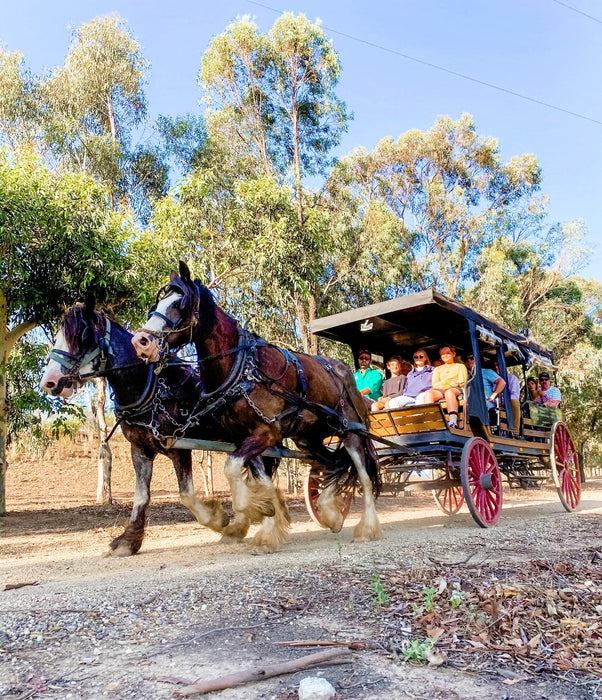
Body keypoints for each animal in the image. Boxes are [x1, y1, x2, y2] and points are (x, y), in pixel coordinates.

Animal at [40, 300, 231, 556]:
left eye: (83, 336)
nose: (48, 382)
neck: (152, 389)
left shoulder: (179, 449)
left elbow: (187, 495)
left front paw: (220, 520)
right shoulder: (140, 450)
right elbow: (141, 496)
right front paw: (128, 541)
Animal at [131, 261, 383, 548]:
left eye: (178, 304)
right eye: (157, 303)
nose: (141, 342)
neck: (242, 367)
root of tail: (344, 371)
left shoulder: (267, 432)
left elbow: (232, 467)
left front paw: (253, 511)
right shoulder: (245, 437)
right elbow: (261, 480)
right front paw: (266, 519)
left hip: (350, 431)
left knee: (362, 474)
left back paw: (367, 527)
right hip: (310, 438)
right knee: (334, 463)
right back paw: (330, 512)